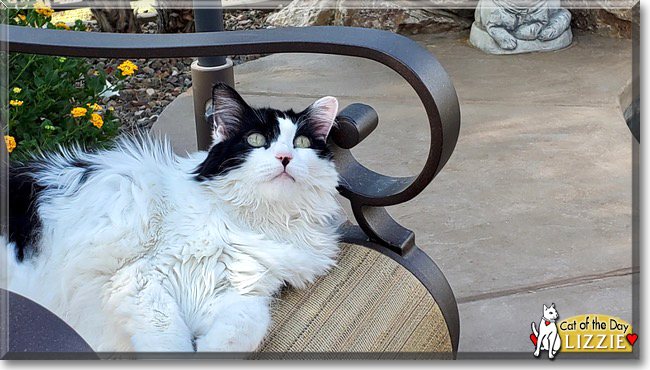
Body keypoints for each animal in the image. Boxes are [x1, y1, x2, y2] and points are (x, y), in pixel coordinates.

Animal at [1, 81, 344, 352]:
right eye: (256, 140)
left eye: (301, 143)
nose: (285, 157)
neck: (257, 221)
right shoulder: (139, 278)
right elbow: (169, 337)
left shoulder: (235, 289)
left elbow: (250, 321)